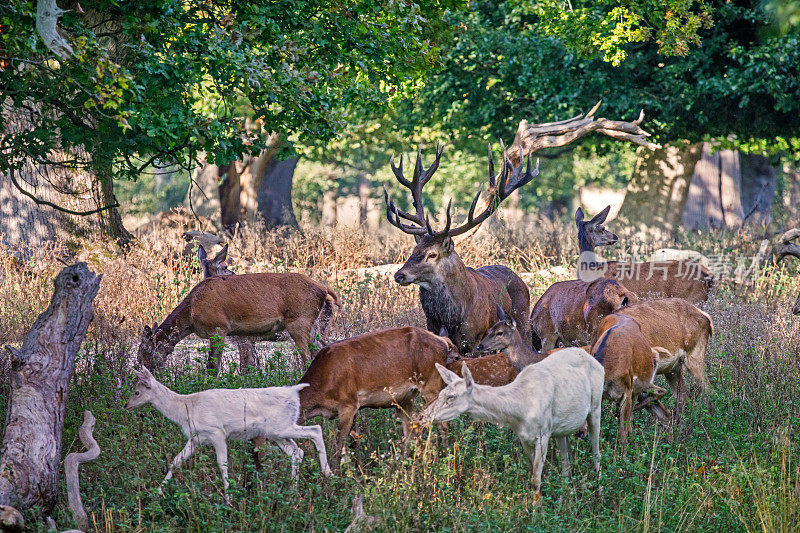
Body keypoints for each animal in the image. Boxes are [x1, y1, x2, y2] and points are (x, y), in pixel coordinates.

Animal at [125, 366, 332, 490]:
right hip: (276, 433)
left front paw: (228, 495)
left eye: (137, 392)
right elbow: (176, 460)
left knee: (316, 430)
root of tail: (294, 391)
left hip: (281, 426)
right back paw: (293, 488)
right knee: (297, 452)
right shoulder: (197, 437)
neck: (186, 409)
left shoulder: (216, 432)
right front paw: (158, 491)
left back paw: (327, 473)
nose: (126, 405)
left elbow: (221, 463)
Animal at [138, 272, 338, 372]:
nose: (140, 369)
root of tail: (323, 288)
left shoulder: (218, 327)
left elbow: (212, 366)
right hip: (314, 325)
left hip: (299, 320)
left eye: (144, 351)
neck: (191, 314)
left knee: (307, 357)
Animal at [382, 143, 536, 356]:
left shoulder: (474, 340)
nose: (400, 275)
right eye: (414, 250)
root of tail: (520, 279)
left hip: (523, 319)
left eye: (432, 254)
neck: (452, 319)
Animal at [422, 348, 604, 500]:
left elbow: (536, 479)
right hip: (561, 429)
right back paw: (565, 496)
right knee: (567, 460)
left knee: (597, 452)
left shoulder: (543, 433)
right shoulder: (524, 437)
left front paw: (536, 513)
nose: (424, 416)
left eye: (451, 396)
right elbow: (533, 473)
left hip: (596, 406)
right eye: (441, 393)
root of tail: (594, 359)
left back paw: (600, 491)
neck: (520, 411)